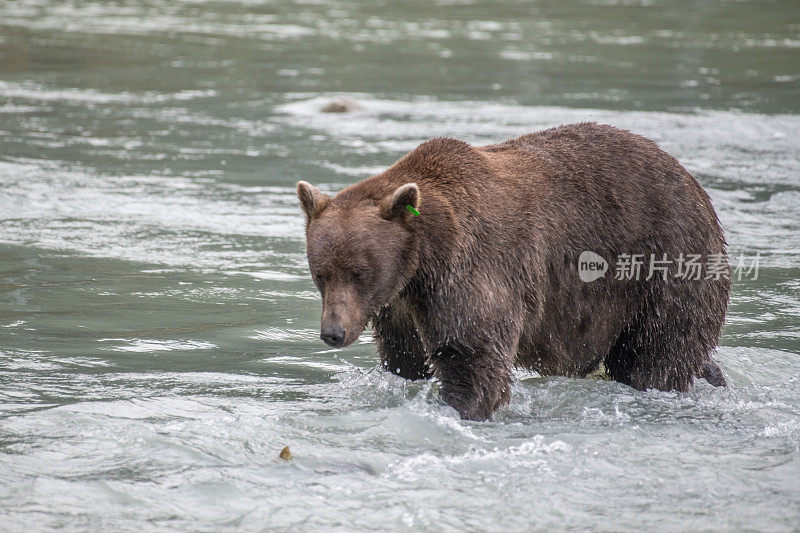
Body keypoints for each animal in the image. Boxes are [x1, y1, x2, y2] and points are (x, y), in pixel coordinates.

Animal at [296, 123, 732, 420]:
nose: (333, 332)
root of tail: (696, 187)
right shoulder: (399, 307)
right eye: (321, 273)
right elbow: (406, 358)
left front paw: (461, 407)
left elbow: (471, 353)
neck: (421, 263)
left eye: (359, 272)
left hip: (665, 263)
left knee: (657, 353)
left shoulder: (470, 270)